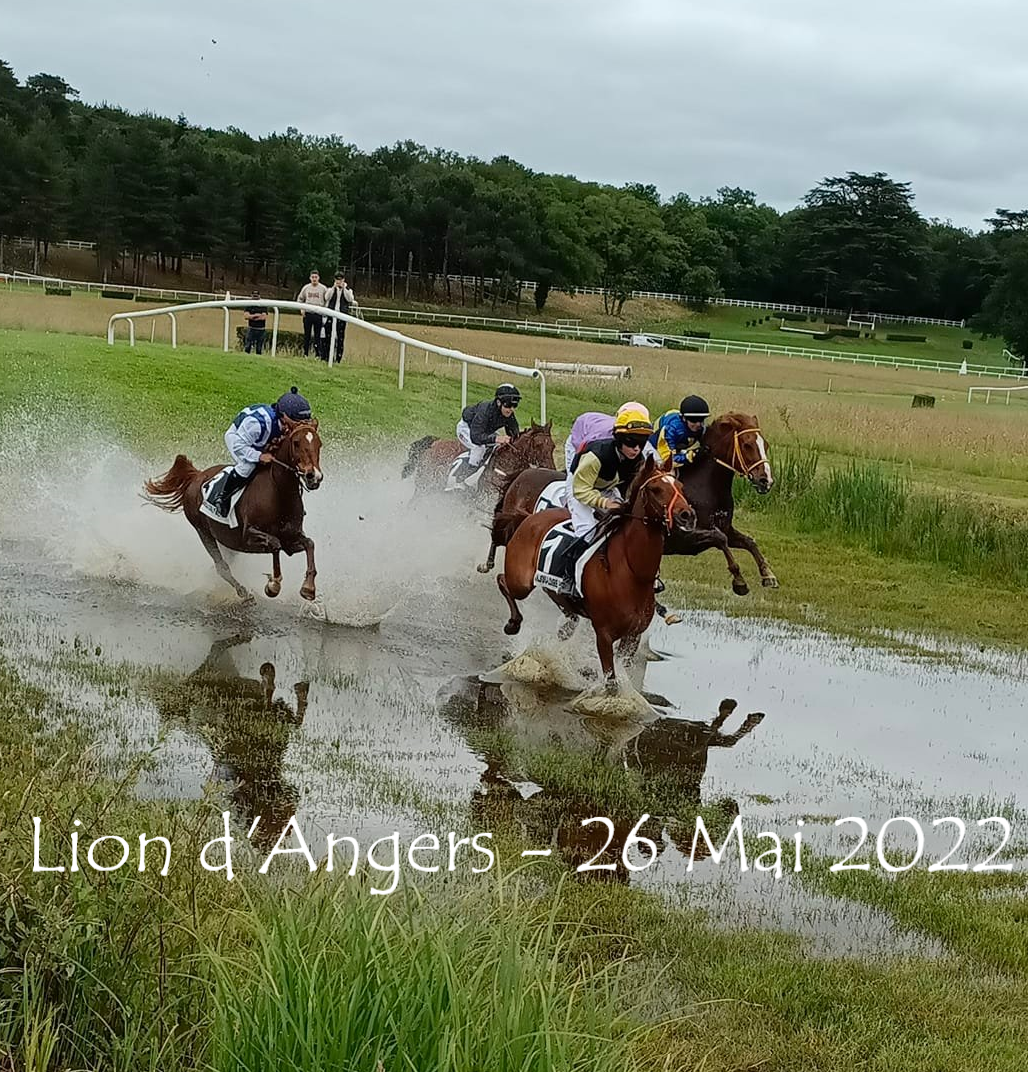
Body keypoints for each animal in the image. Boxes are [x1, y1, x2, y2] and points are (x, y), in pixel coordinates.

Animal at [142, 415, 323, 604]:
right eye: (296, 442)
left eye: (319, 444)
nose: (314, 476)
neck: (279, 492)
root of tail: (196, 476)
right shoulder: (249, 535)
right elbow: (274, 543)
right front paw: (273, 585)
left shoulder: (290, 538)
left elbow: (310, 543)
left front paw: (308, 588)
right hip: (204, 532)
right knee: (221, 567)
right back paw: (244, 593)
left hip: (228, 540)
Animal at [482, 409, 780, 596]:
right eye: (748, 444)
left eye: (764, 443)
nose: (765, 480)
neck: (702, 488)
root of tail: (524, 472)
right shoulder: (683, 538)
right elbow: (719, 539)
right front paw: (739, 580)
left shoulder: (724, 527)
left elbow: (747, 541)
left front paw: (768, 575)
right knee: (497, 535)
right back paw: (486, 564)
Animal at [493, 454, 698, 686]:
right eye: (656, 489)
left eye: (680, 486)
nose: (687, 515)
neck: (632, 573)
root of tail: (529, 518)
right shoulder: (604, 635)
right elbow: (611, 682)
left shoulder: (633, 636)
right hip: (521, 582)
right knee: (502, 580)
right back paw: (513, 623)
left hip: (553, 590)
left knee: (565, 614)